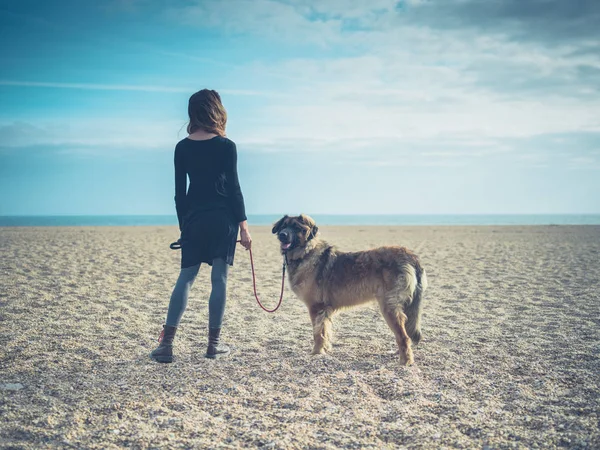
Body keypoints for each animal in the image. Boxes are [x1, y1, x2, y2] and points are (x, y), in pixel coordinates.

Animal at [272, 214, 426, 366]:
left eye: (296, 227)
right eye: (283, 226)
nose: (282, 235)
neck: (305, 253)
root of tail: (410, 256)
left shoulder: (316, 308)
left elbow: (317, 333)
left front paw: (316, 353)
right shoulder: (325, 310)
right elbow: (325, 331)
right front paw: (324, 350)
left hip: (389, 307)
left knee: (403, 337)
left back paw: (405, 362)